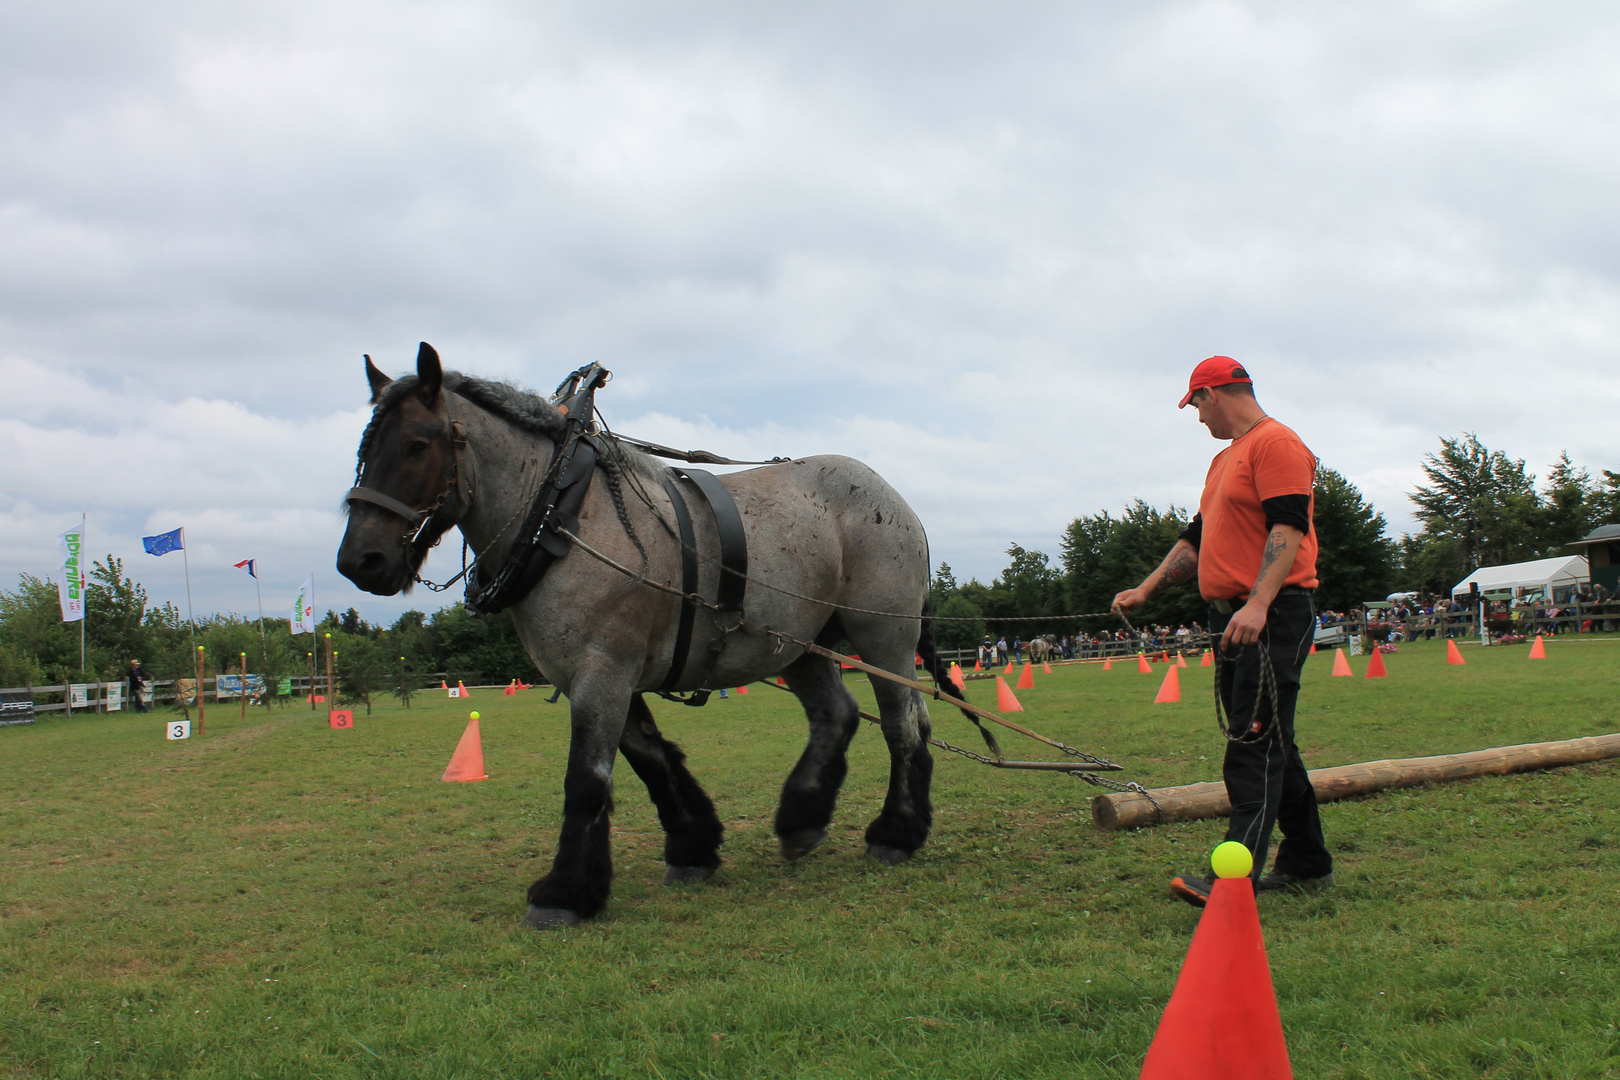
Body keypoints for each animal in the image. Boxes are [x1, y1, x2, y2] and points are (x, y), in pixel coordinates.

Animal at [332, 344, 959, 932]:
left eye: (417, 445)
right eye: (364, 451)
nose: (360, 561)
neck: (562, 513)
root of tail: (896, 500)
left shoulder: (603, 672)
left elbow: (587, 779)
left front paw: (564, 893)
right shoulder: (599, 674)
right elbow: (652, 760)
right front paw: (693, 847)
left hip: (884, 638)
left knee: (903, 727)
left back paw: (895, 833)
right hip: (797, 643)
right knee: (839, 716)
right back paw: (801, 820)